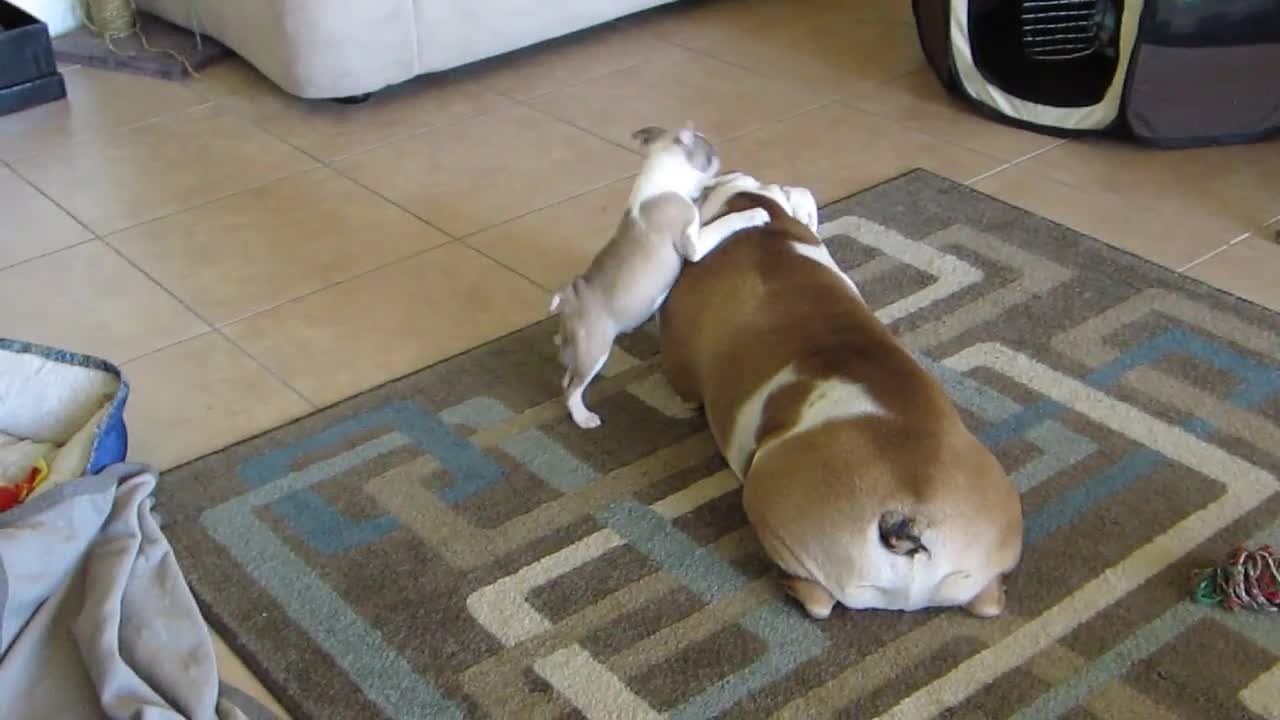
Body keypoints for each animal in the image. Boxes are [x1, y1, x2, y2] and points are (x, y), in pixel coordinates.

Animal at [550, 124, 768, 425]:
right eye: (710, 152)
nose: (719, 153)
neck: (663, 172)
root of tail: (570, 298)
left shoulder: (694, 206)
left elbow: (706, 190)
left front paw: (733, 178)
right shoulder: (693, 244)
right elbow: (723, 221)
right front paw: (753, 212)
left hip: (576, 347)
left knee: (566, 378)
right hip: (595, 349)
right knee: (573, 387)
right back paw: (583, 417)